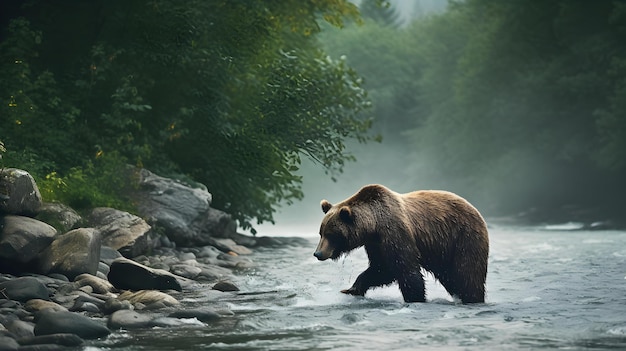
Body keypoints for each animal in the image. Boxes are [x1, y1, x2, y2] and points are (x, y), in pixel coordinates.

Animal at [312, 186, 488, 304]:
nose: (318, 253)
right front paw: (351, 289)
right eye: (321, 233)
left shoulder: (396, 233)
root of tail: (476, 210)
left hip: (463, 238)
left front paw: (415, 298)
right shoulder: (375, 244)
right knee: (451, 278)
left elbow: (406, 268)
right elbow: (381, 269)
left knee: (468, 273)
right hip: (443, 253)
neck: (374, 226)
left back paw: (473, 298)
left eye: (331, 235)